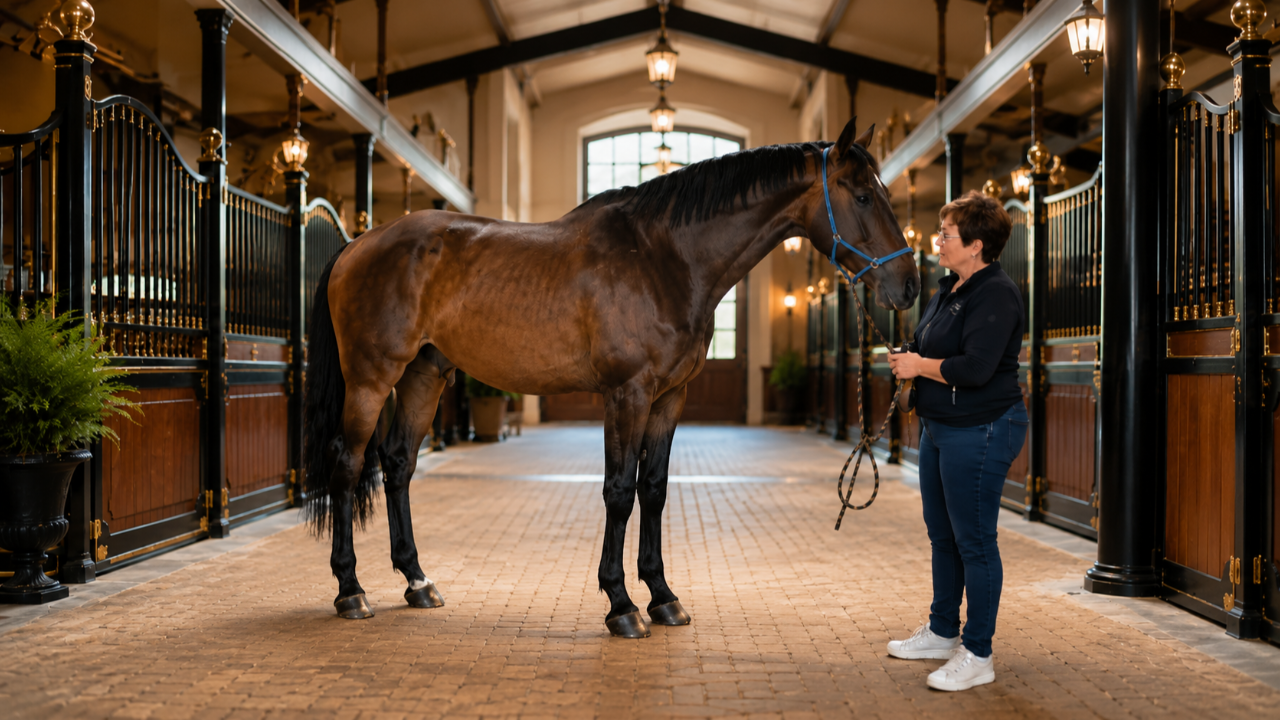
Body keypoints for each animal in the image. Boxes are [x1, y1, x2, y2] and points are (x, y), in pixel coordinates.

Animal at [302, 117, 919, 637]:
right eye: (862, 195)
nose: (909, 286)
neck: (663, 258)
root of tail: (356, 244)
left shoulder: (670, 397)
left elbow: (655, 489)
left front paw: (664, 597)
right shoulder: (627, 394)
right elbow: (619, 492)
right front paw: (621, 604)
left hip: (423, 376)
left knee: (398, 465)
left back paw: (417, 581)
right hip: (370, 379)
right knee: (349, 464)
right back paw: (351, 589)